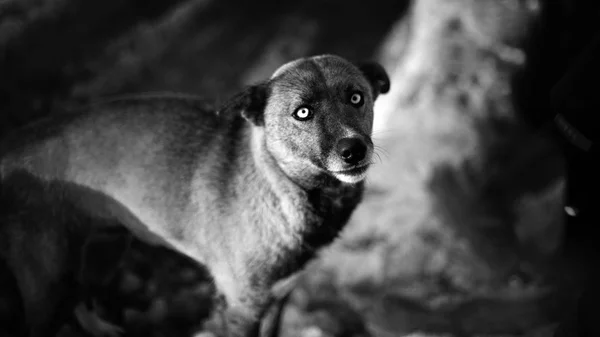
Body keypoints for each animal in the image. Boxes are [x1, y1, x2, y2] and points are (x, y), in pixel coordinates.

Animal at [0, 53, 390, 334]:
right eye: (302, 112)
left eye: (356, 97)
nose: (353, 150)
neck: (282, 188)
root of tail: (10, 148)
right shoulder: (241, 310)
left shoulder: (278, 298)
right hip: (50, 284)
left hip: (102, 251)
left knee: (82, 301)